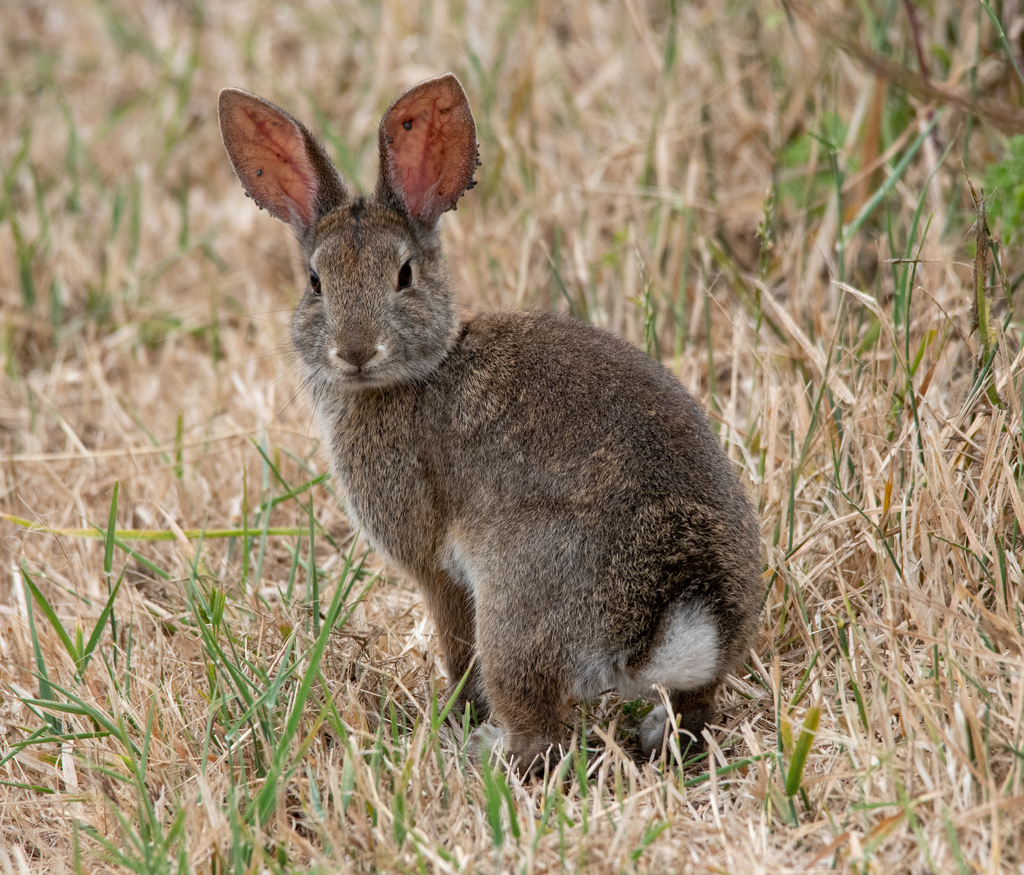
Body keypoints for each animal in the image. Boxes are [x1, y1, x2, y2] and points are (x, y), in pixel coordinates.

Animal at [218, 73, 762, 775]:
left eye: (404, 275)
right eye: (316, 281)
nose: (355, 351)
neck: (418, 372)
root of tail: (676, 612)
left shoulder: (435, 567)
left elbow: (456, 648)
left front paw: (453, 711)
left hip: (514, 609)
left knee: (541, 734)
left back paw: (482, 749)